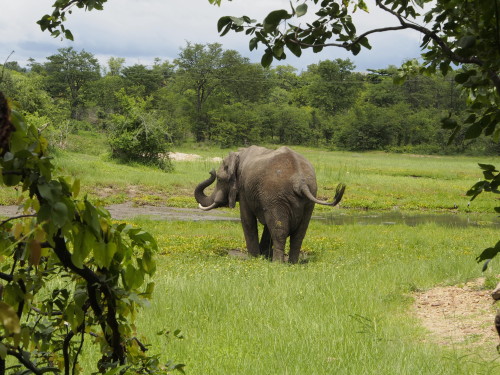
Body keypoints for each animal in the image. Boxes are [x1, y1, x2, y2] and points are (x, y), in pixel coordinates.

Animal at [193, 146, 346, 264]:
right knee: (299, 233)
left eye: (219, 179)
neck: (238, 155)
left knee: (279, 231)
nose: (211, 171)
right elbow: (267, 225)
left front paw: (254, 258)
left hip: (277, 194)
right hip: (308, 198)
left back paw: (277, 263)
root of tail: (300, 181)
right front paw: (263, 256)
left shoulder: (244, 190)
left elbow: (247, 220)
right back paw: (292, 263)